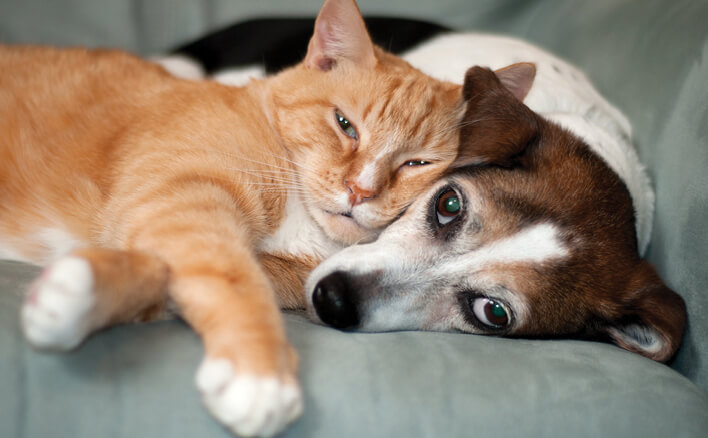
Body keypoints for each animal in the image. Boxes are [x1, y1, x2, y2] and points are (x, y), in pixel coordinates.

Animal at [0, 0, 532, 438]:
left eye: (417, 163)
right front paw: (259, 374)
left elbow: (167, 277)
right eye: (344, 125)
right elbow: (232, 278)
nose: (359, 191)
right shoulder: (183, 198)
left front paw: (76, 294)